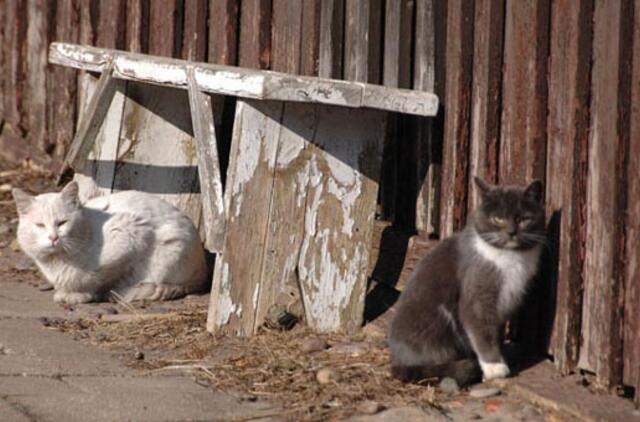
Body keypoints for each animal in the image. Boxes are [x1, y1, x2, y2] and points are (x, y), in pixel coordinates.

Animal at [11, 181, 208, 304]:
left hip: (171, 248)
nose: (53, 237)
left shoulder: (130, 234)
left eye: (62, 223)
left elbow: (98, 277)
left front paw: (79, 295)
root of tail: (203, 271)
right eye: (40, 225)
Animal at [390, 176, 544, 384]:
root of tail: (397, 362)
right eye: (498, 219)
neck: (510, 257)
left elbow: (496, 331)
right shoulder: (477, 288)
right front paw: (495, 367)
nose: (512, 232)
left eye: (523, 219)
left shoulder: (507, 301)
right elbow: (481, 329)